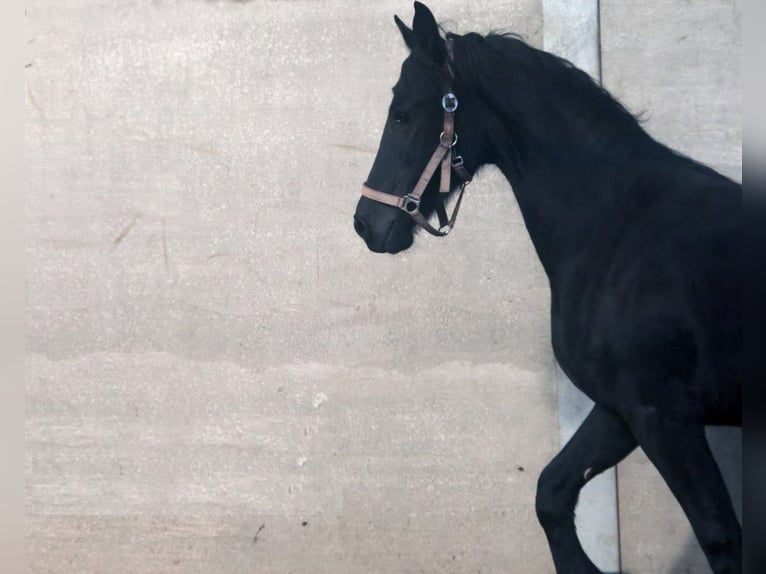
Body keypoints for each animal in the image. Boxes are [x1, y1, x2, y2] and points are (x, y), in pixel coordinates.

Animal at [352, 3, 742, 573]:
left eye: (402, 113)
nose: (366, 222)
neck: (618, 226)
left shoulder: (663, 415)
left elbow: (719, 535)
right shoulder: (621, 411)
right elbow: (551, 495)